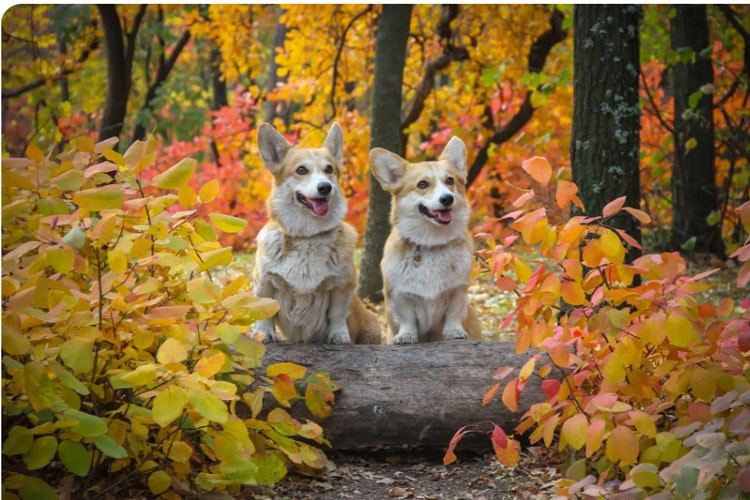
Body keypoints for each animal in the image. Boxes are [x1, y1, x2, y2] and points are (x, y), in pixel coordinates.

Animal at [253, 123, 382, 346]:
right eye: (301, 170)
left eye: (329, 169)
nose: (325, 187)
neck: (308, 237)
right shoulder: (265, 281)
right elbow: (265, 312)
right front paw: (263, 334)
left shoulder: (341, 286)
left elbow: (337, 315)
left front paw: (339, 336)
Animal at [370, 136, 482, 344]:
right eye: (422, 184)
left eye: (449, 181)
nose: (447, 198)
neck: (432, 242)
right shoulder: (399, 295)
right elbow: (407, 319)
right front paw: (406, 336)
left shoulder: (458, 291)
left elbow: (453, 314)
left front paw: (454, 332)